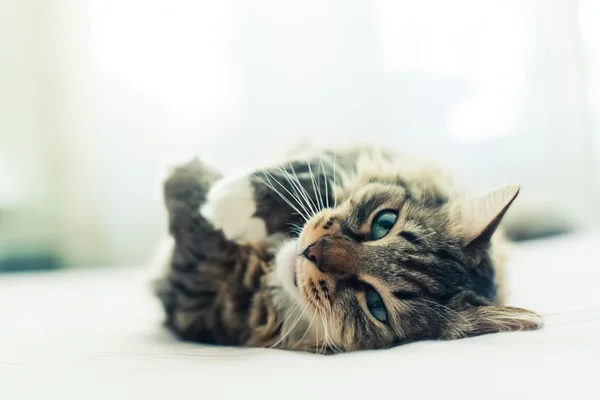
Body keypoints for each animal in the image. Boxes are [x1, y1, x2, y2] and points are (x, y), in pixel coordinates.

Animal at [151, 148, 544, 354]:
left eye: (375, 305)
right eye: (384, 222)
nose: (314, 252)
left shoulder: (197, 297)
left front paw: (210, 199)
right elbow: (313, 171)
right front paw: (229, 201)